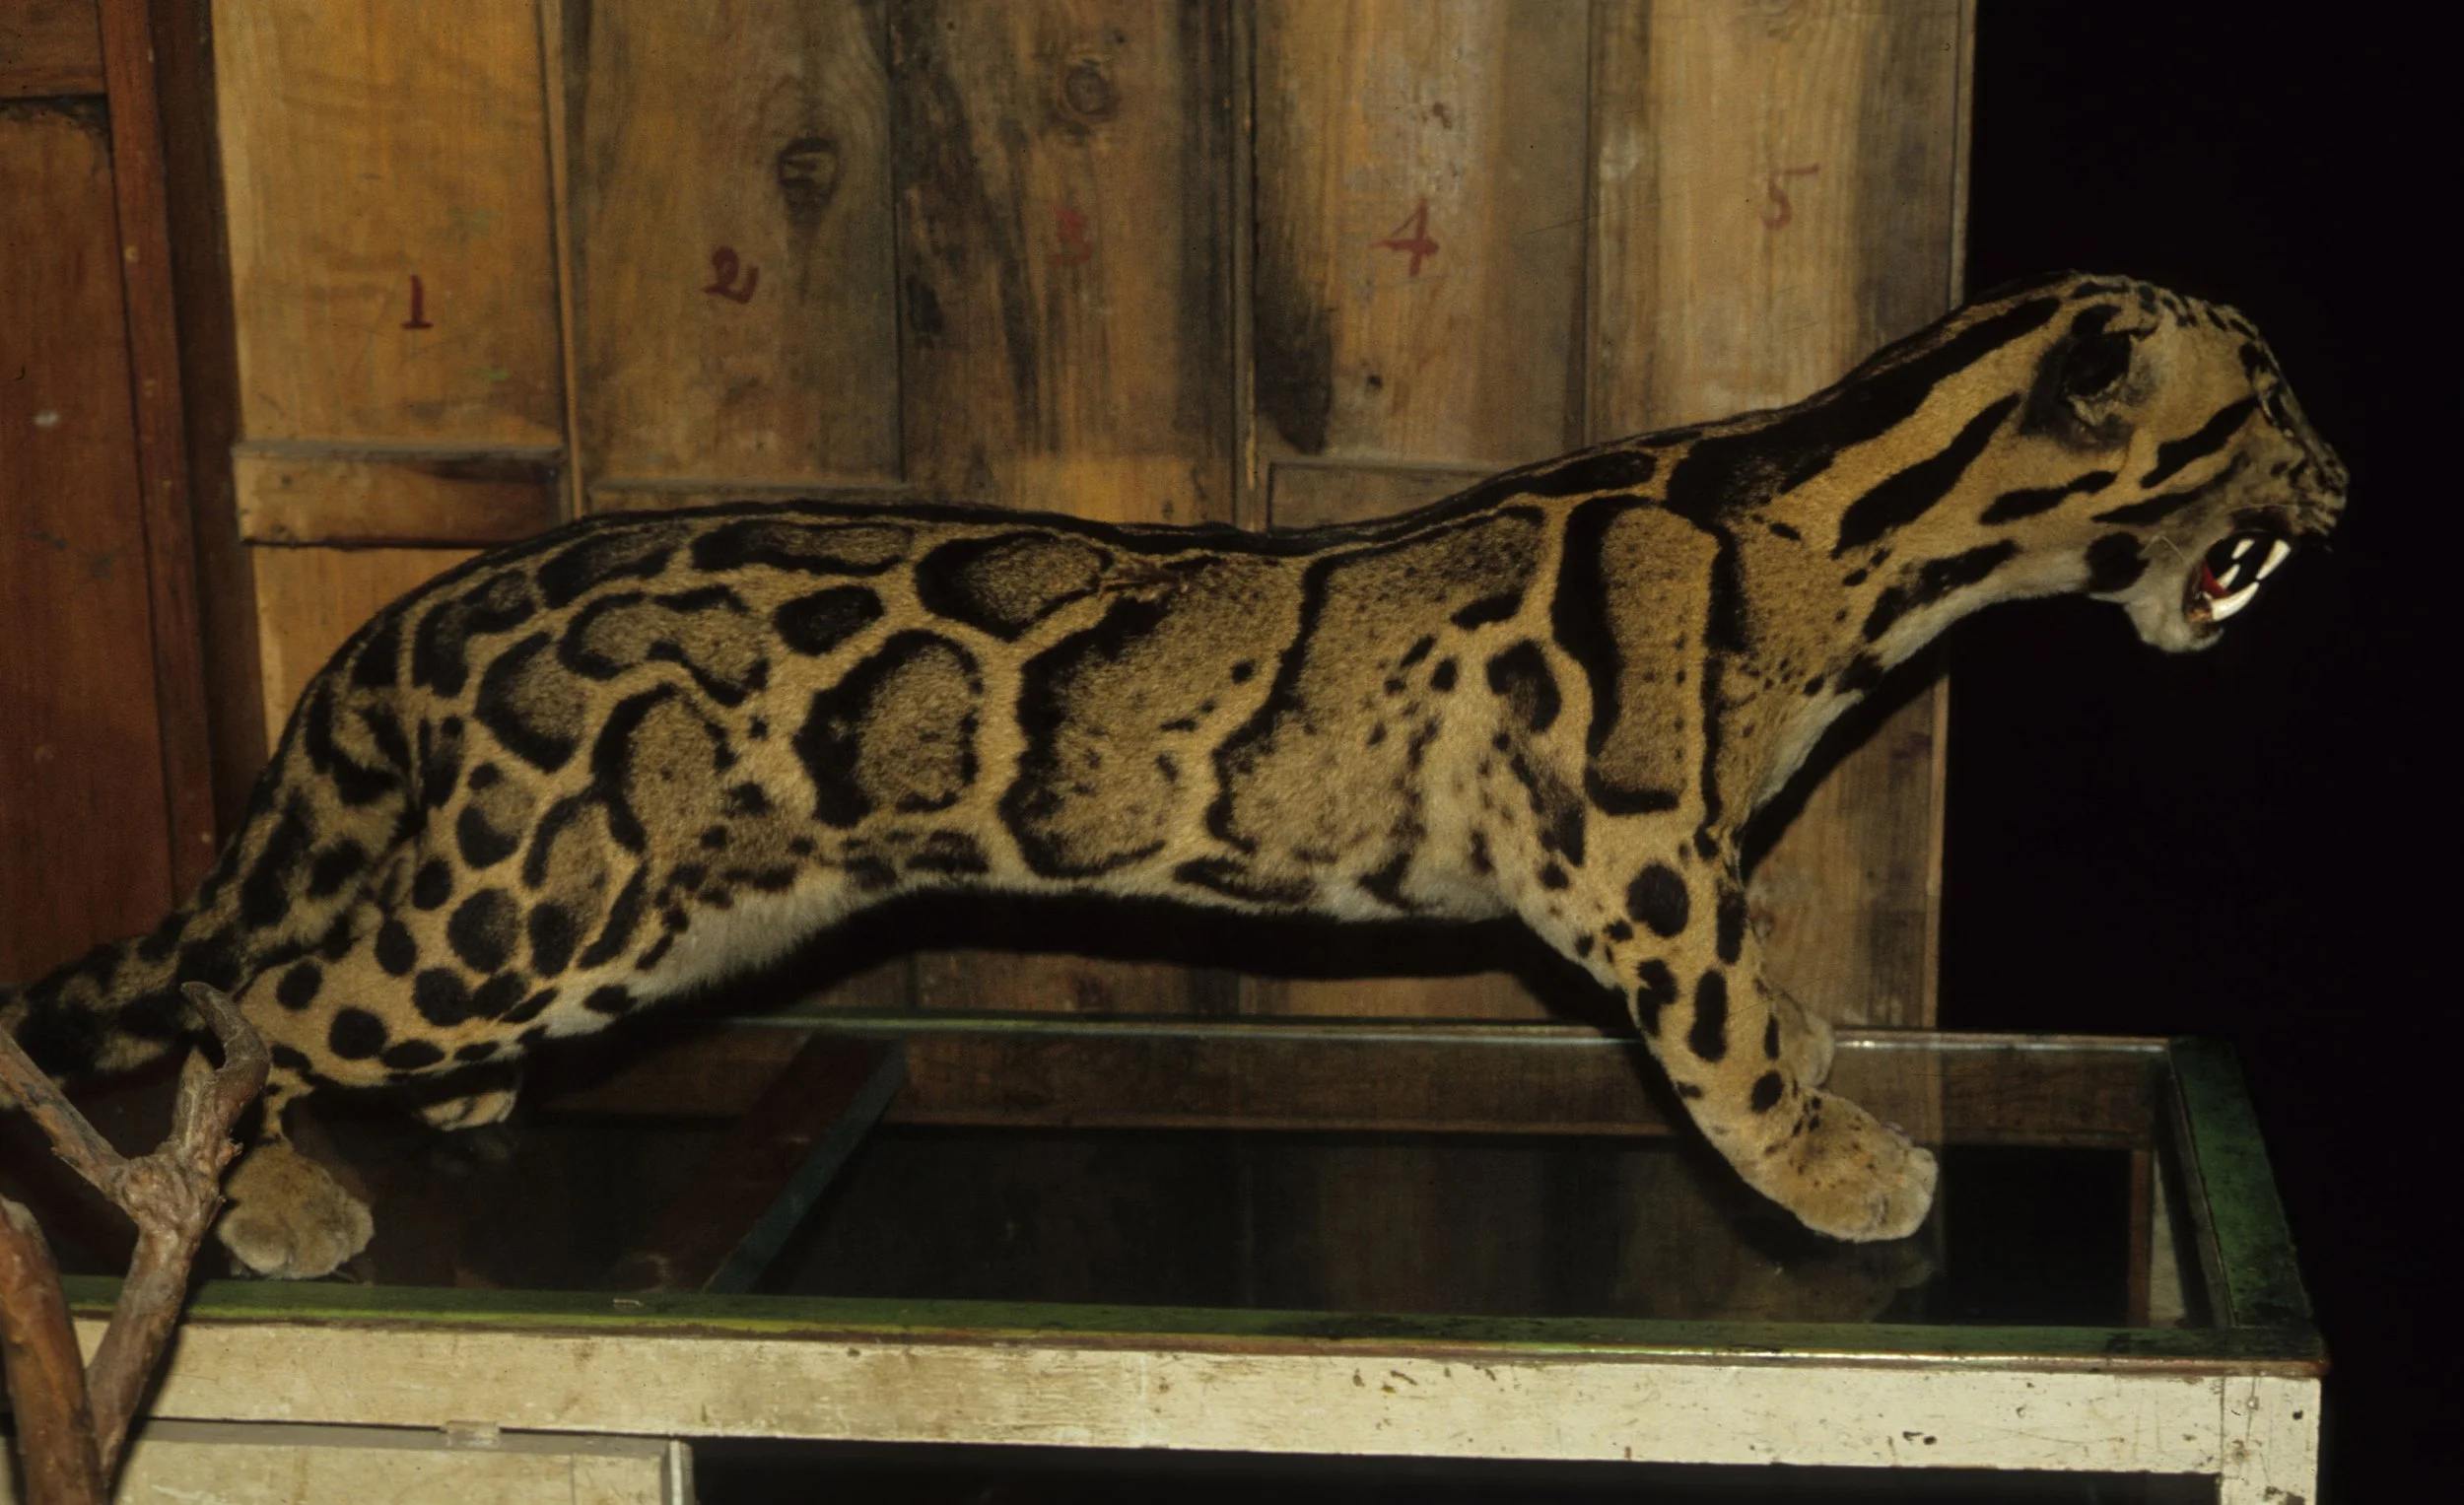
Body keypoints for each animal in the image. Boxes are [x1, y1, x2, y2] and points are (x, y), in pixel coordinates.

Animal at [1, 273, 2345, 1280]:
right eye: (2275, 403)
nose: (2347, 482)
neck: (1850, 517)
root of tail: (427, 609)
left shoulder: (1673, 853)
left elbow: (1758, 980)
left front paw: (1820, 1059)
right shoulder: (1623, 839)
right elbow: (1714, 1020)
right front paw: (1825, 1154)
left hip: (620, 919)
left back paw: (446, 1118)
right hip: (526, 911)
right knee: (244, 1002)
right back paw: (257, 1193)